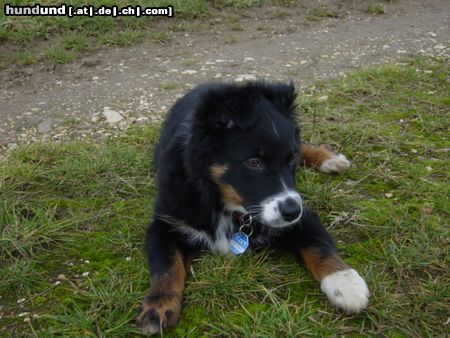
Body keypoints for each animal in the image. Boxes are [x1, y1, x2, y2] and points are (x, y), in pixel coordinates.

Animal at [136, 80, 370, 334]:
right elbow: (166, 265)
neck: (223, 202)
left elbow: (319, 244)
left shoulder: (304, 216)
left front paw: (345, 283)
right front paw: (157, 307)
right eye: (254, 163)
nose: (292, 213)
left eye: (291, 159)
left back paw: (329, 159)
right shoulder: (165, 222)